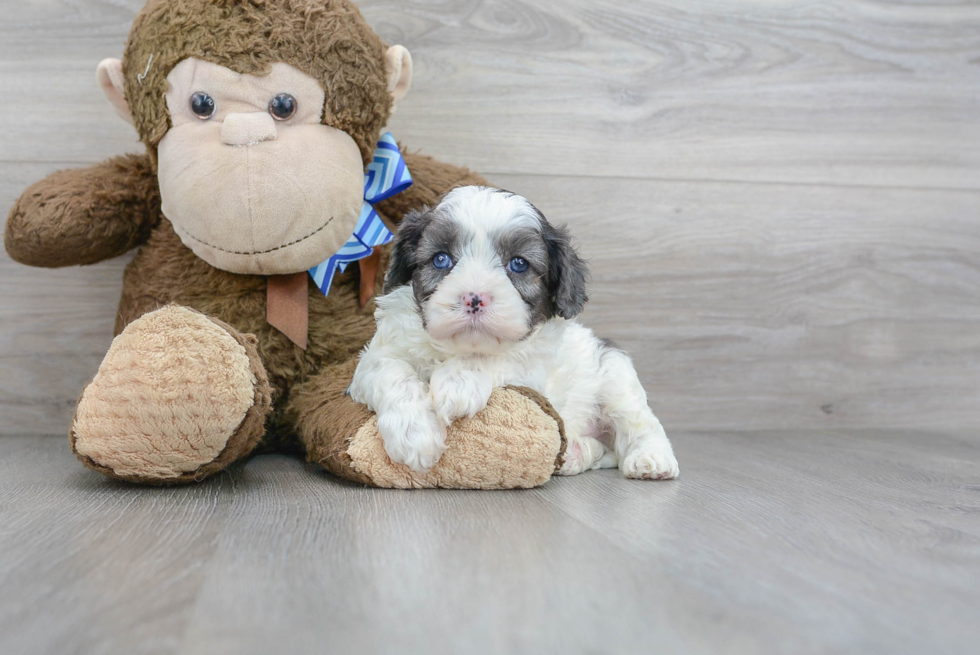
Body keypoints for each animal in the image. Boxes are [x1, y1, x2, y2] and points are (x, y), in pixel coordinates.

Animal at [352, 187, 680, 480]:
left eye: (519, 264)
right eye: (441, 259)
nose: (474, 298)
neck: (457, 348)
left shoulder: (532, 367)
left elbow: (498, 357)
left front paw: (458, 382)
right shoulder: (372, 362)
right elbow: (391, 372)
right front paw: (413, 434)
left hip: (615, 374)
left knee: (639, 423)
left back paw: (652, 460)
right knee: (602, 450)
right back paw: (574, 454)